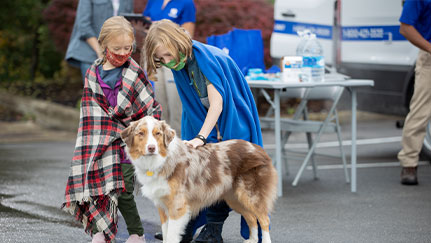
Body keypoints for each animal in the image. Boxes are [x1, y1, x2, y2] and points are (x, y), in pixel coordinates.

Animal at [120, 117, 278, 242]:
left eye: (157, 134)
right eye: (141, 133)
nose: (152, 148)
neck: (160, 161)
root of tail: (258, 148)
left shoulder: (178, 206)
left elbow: (171, 236)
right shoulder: (162, 205)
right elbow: (165, 233)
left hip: (250, 194)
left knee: (264, 219)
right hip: (234, 198)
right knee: (251, 218)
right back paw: (252, 240)